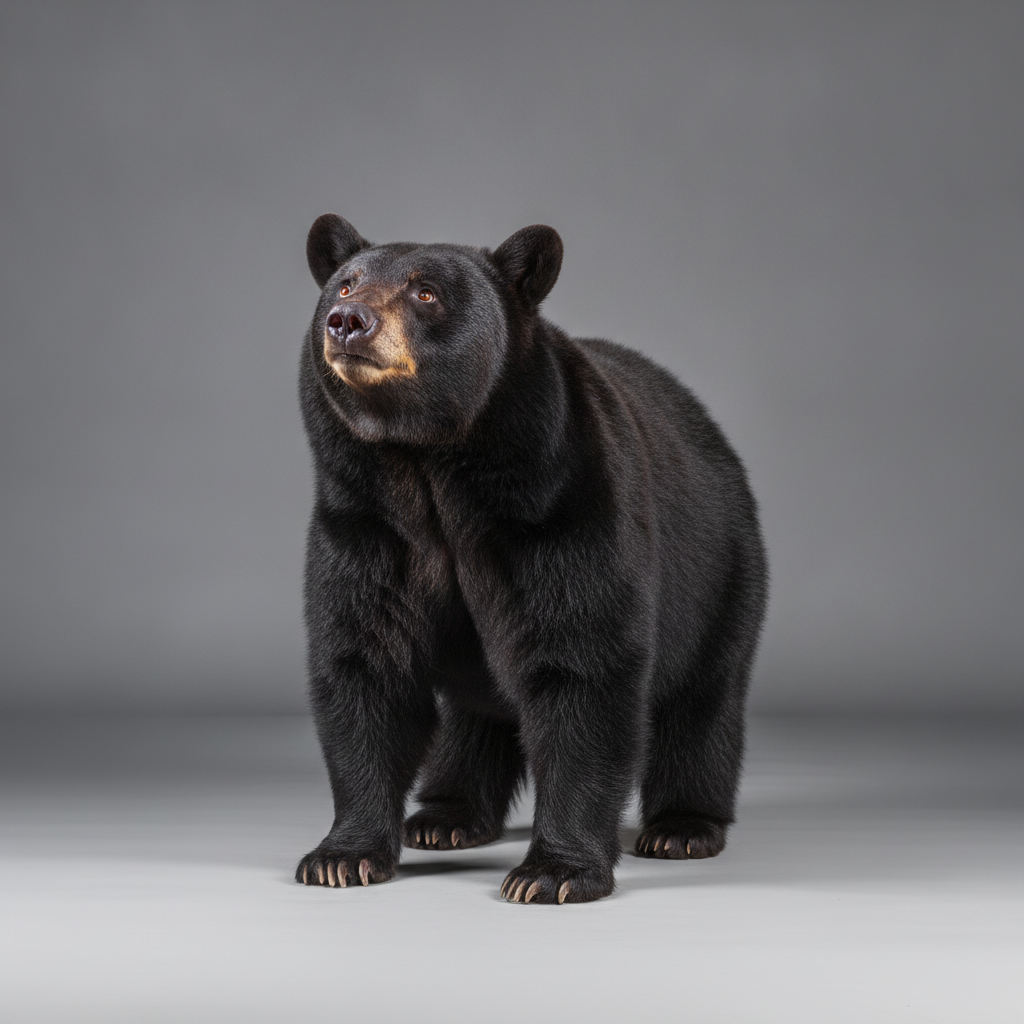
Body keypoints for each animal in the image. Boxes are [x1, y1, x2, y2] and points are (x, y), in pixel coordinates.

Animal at [294, 214, 768, 903]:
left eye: (426, 292)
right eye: (346, 283)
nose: (347, 320)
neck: (430, 466)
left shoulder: (561, 506)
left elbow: (583, 665)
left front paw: (554, 871)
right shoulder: (364, 525)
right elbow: (364, 665)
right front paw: (341, 856)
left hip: (721, 570)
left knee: (704, 699)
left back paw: (682, 827)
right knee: (477, 711)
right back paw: (446, 815)